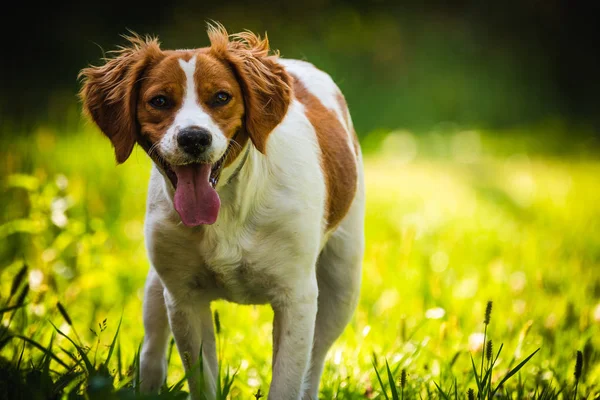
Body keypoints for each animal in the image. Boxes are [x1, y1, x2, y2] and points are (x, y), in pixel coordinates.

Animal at [79, 23, 366, 398]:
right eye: (159, 101)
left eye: (220, 97)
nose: (194, 138)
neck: (229, 207)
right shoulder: (183, 298)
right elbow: (202, 378)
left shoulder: (297, 297)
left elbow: (287, 382)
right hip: (157, 285)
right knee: (152, 349)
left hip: (341, 282)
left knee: (315, 363)